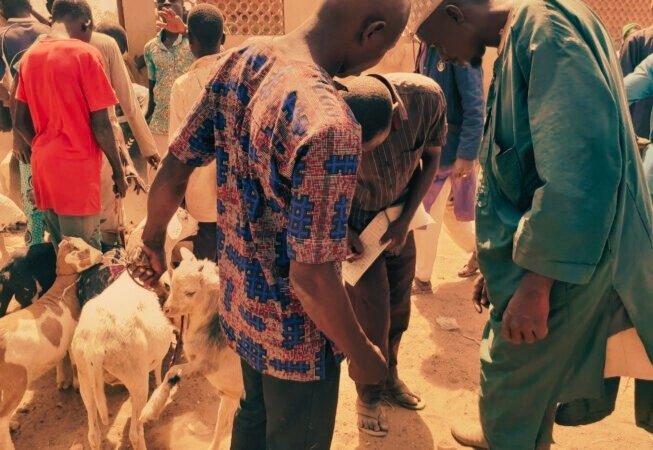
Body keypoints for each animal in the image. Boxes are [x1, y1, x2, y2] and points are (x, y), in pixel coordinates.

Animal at [0, 237, 102, 450]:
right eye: (82, 250)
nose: (101, 254)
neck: (61, 291)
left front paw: (63, 381)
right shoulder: (72, 339)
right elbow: (73, 362)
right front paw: (75, 383)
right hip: (15, 382)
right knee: (1, 418)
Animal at [71, 270, 174, 450]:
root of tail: (94, 345)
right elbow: (158, 369)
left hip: (85, 379)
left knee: (93, 434)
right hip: (137, 380)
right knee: (135, 433)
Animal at [140, 248, 243, 450]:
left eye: (190, 292)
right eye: (170, 285)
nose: (167, 309)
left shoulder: (204, 365)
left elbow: (172, 371)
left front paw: (148, 412)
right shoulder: (229, 394)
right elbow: (221, 429)